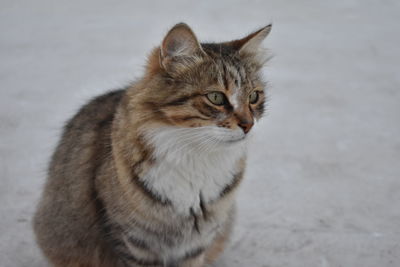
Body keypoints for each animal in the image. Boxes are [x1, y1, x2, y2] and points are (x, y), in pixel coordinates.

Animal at [33, 23, 272, 267]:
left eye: (254, 97)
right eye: (216, 97)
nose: (248, 125)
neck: (196, 159)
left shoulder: (195, 244)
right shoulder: (133, 240)